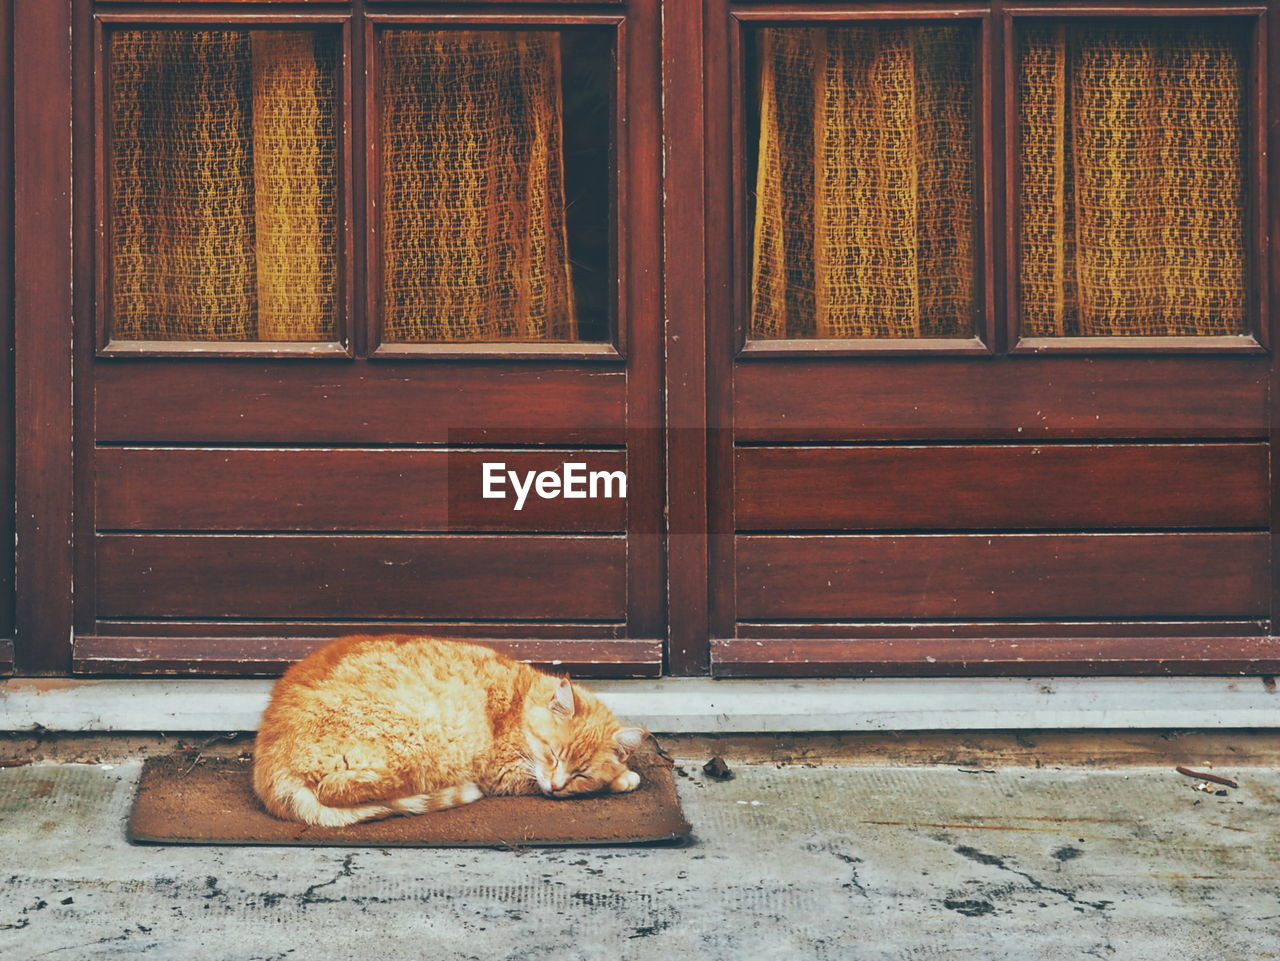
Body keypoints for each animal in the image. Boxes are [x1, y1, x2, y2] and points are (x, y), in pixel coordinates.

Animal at [252, 639, 650, 829]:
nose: (557, 785)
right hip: (421, 745)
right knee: (337, 789)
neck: (521, 698)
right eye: (552, 753)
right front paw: (625, 778)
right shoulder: (503, 773)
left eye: (580, 773)